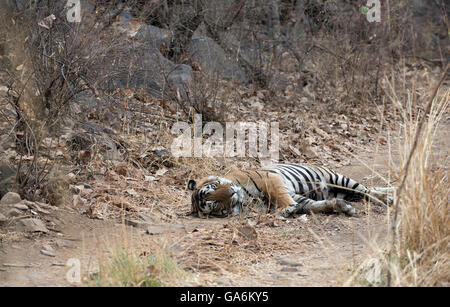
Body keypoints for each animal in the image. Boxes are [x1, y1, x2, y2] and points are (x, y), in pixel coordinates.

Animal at [188, 164, 392, 219]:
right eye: (214, 205)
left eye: (214, 188)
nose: (231, 193)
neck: (245, 200)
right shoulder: (301, 199)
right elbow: (316, 205)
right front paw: (343, 208)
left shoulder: (272, 180)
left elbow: (281, 196)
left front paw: (287, 209)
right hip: (343, 190)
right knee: (366, 192)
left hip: (341, 180)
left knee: (368, 191)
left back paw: (388, 197)